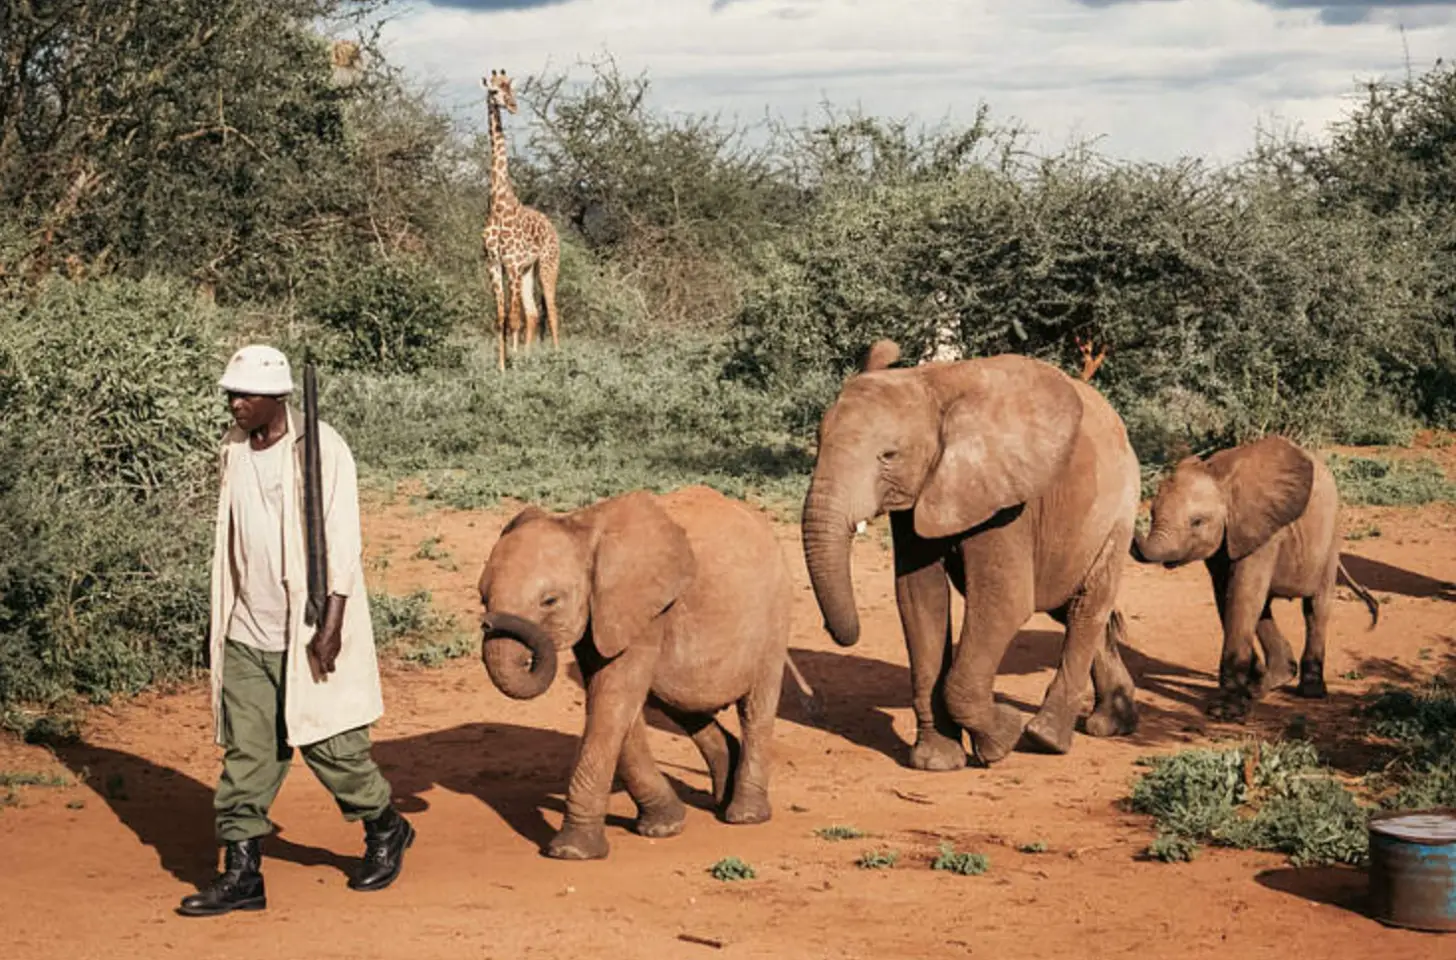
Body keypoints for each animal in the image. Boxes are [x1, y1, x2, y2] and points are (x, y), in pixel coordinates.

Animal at [475, 485, 792, 860]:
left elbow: (612, 699)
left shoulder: (641, 607)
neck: (582, 527)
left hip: (774, 613)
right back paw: (723, 789)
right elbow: (610, 701)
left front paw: (572, 852)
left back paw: (745, 815)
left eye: (550, 601)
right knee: (678, 700)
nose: (487, 623)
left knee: (756, 706)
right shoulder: (603, 615)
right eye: (482, 597)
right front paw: (665, 826)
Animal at [480, 68, 561, 372]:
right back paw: (529, 358)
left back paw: (558, 357)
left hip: (547, 265)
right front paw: (503, 366)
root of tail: (552, 227)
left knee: (551, 310)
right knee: (534, 313)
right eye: (494, 91)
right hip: (528, 270)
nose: (513, 106)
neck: (498, 205)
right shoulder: (494, 264)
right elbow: (501, 318)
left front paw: (511, 367)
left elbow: (512, 319)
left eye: (510, 87)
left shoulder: (512, 264)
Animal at [800, 339, 1142, 770]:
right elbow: (919, 598)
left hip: (1118, 510)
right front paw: (937, 762)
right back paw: (1113, 724)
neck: (930, 386)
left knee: (1087, 606)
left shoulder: (1006, 498)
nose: (835, 631)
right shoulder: (922, 493)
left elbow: (1005, 601)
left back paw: (1046, 737)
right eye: (818, 442)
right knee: (1069, 607)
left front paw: (1002, 739)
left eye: (889, 456)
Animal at [1130, 434, 1380, 720]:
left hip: (1332, 535)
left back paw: (1309, 691)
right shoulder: (1227, 539)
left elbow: (1242, 594)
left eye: (1197, 522)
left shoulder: (1261, 529)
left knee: (1315, 607)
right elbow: (1227, 595)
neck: (1219, 474)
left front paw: (1225, 711)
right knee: (1265, 606)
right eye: (1152, 515)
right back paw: (1268, 683)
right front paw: (1248, 690)